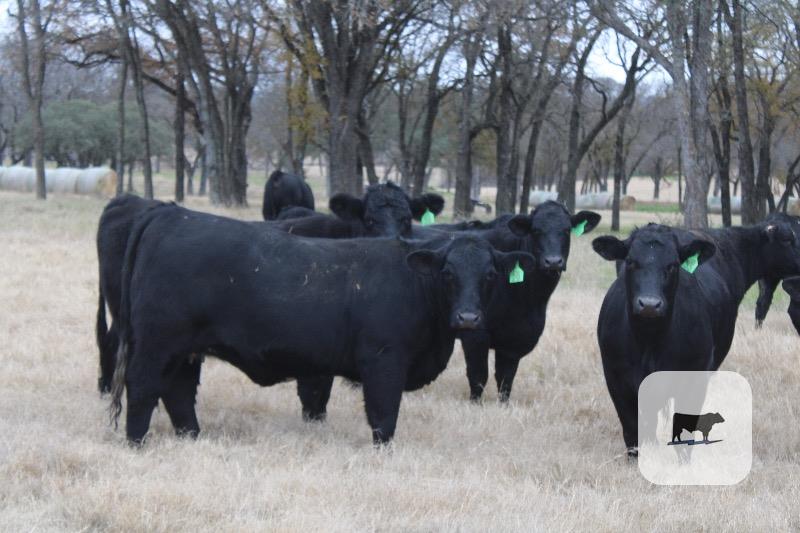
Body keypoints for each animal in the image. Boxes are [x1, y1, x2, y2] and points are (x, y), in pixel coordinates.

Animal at [109, 203, 536, 445]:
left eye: (490, 275)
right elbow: (384, 415)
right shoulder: (384, 360)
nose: (468, 318)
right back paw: (136, 443)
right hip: (157, 343)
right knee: (144, 387)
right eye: (447, 274)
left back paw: (193, 439)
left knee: (178, 393)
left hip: (185, 349)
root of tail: (169, 214)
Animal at [593, 217, 800, 457]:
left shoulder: (695, 376)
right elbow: (633, 431)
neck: (650, 340)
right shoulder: (616, 379)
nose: (650, 304)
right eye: (631, 262)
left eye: (673, 264)